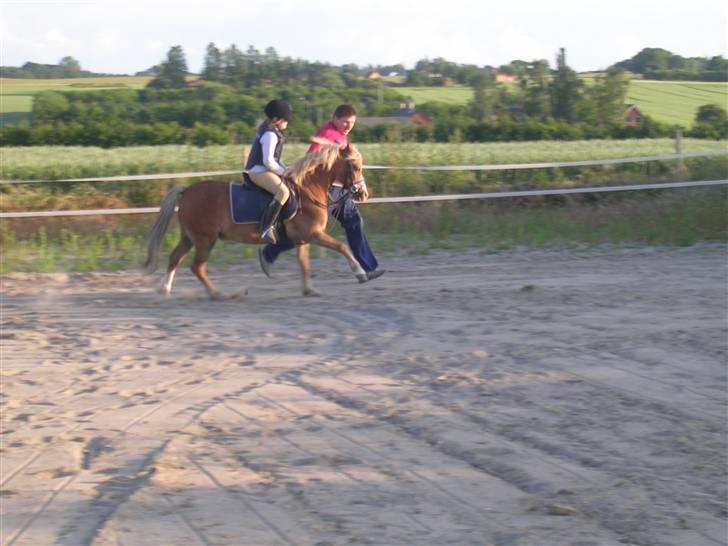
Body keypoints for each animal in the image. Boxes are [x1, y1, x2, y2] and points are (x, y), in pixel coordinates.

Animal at [144, 142, 366, 298]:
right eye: (355, 166)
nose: (363, 194)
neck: (307, 191)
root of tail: (187, 190)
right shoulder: (313, 234)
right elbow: (342, 247)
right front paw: (360, 272)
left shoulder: (302, 238)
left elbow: (304, 263)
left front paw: (309, 291)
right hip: (204, 239)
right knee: (196, 267)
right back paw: (219, 294)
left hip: (190, 237)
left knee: (175, 258)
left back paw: (164, 289)